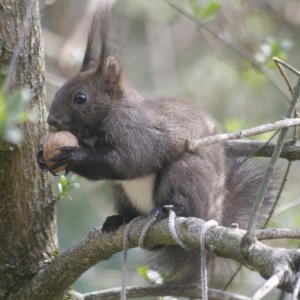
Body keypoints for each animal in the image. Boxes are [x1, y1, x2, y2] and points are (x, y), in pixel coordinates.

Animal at [37, 4, 276, 284]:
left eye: (80, 98)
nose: (52, 120)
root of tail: (214, 214)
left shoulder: (135, 133)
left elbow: (127, 162)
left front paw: (72, 156)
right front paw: (41, 157)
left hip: (185, 174)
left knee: (182, 202)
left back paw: (167, 210)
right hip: (120, 191)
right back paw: (119, 218)